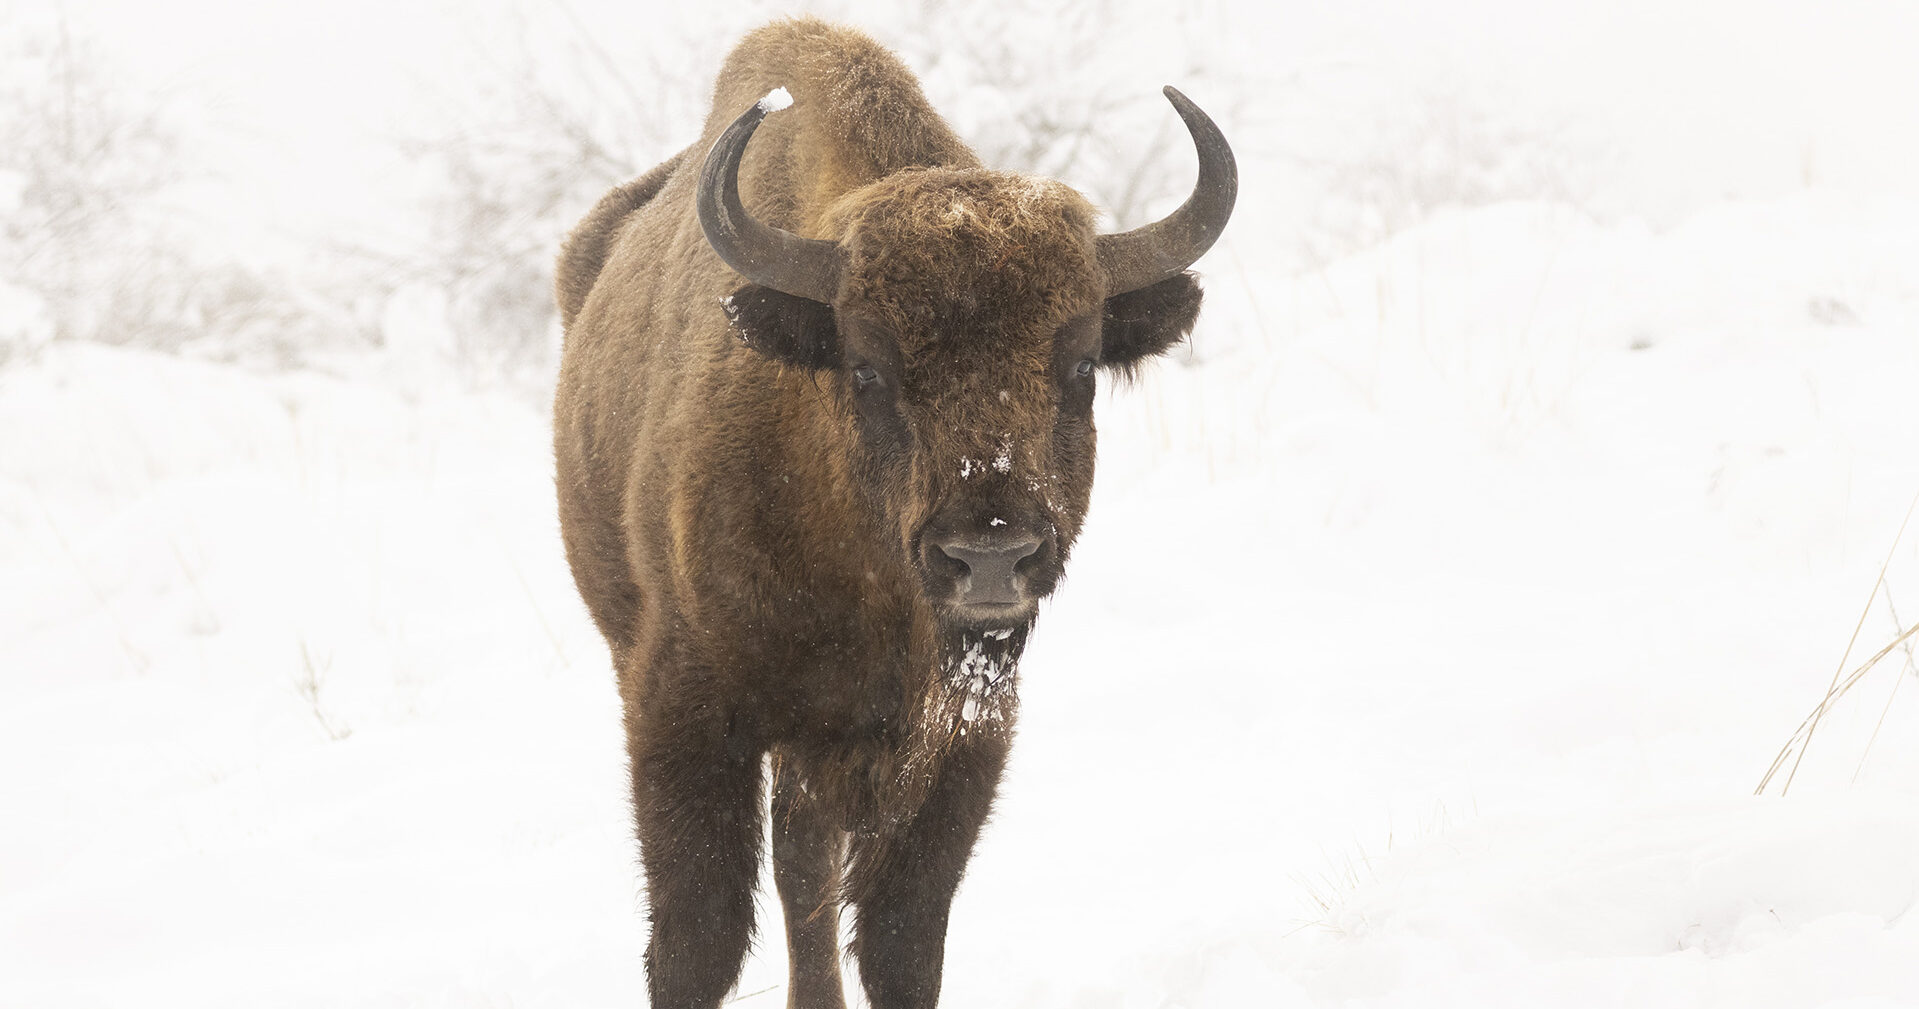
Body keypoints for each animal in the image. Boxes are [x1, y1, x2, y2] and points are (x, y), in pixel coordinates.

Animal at [553, 17, 1235, 1009]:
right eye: (868, 369)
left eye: (1079, 365)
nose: (989, 554)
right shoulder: (683, 706)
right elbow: (698, 940)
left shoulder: (959, 737)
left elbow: (901, 937)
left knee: (804, 864)